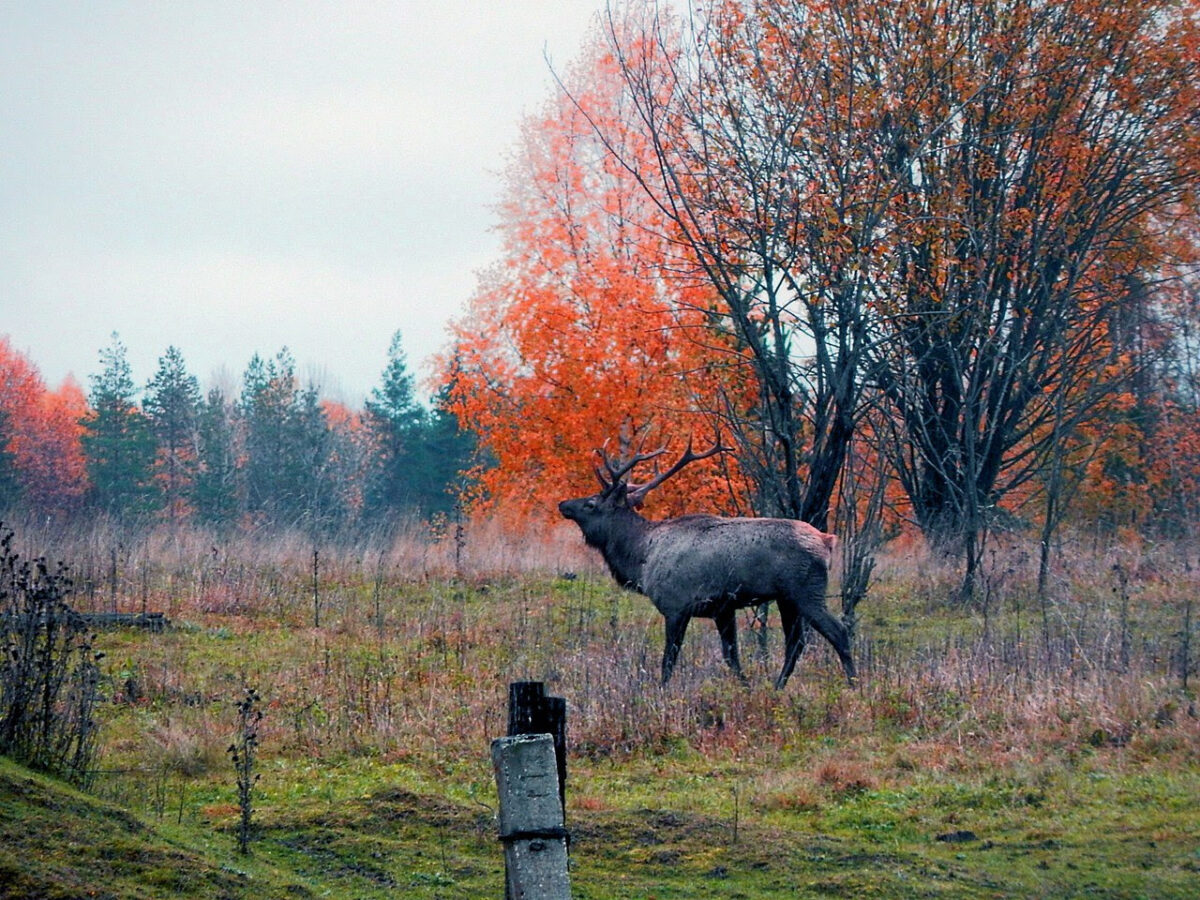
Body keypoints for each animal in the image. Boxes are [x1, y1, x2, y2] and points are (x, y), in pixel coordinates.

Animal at [556, 441, 859, 691]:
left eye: (591, 503)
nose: (563, 504)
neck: (640, 558)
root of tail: (828, 541)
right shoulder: (723, 608)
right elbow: (731, 656)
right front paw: (746, 688)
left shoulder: (676, 606)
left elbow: (669, 660)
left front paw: (660, 693)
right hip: (787, 599)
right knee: (795, 643)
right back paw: (778, 686)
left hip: (806, 591)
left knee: (838, 632)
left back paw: (854, 685)